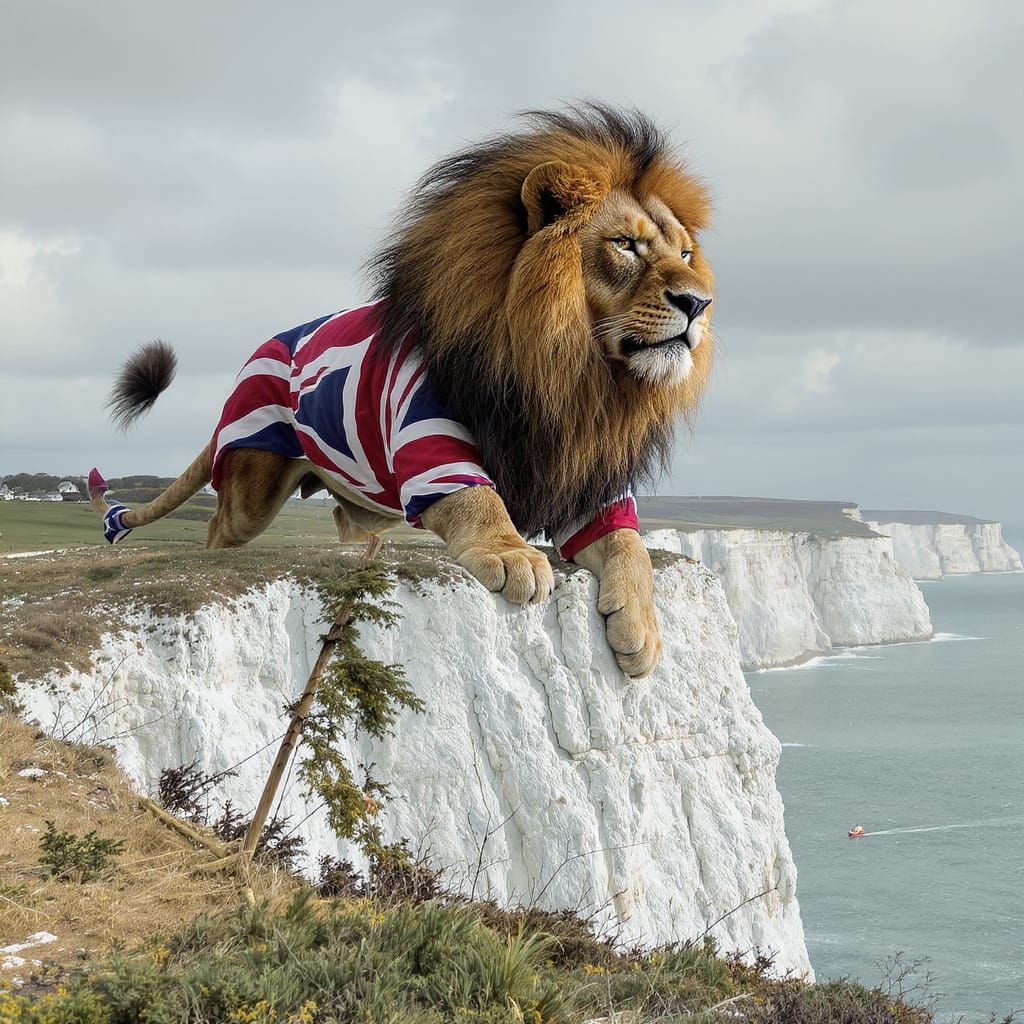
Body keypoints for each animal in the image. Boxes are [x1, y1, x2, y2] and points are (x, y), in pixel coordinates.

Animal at [89, 104, 714, 678]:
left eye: (684, 253)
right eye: (625, 245)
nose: (699, 302)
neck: (576, 376)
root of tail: (255, 356)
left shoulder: (584, 473)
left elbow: (631, 547)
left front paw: (642, 627)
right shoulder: (426, 436)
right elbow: (476, 499)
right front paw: (510, 552)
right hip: (252, 484)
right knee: (221, 525)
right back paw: (216, 552)